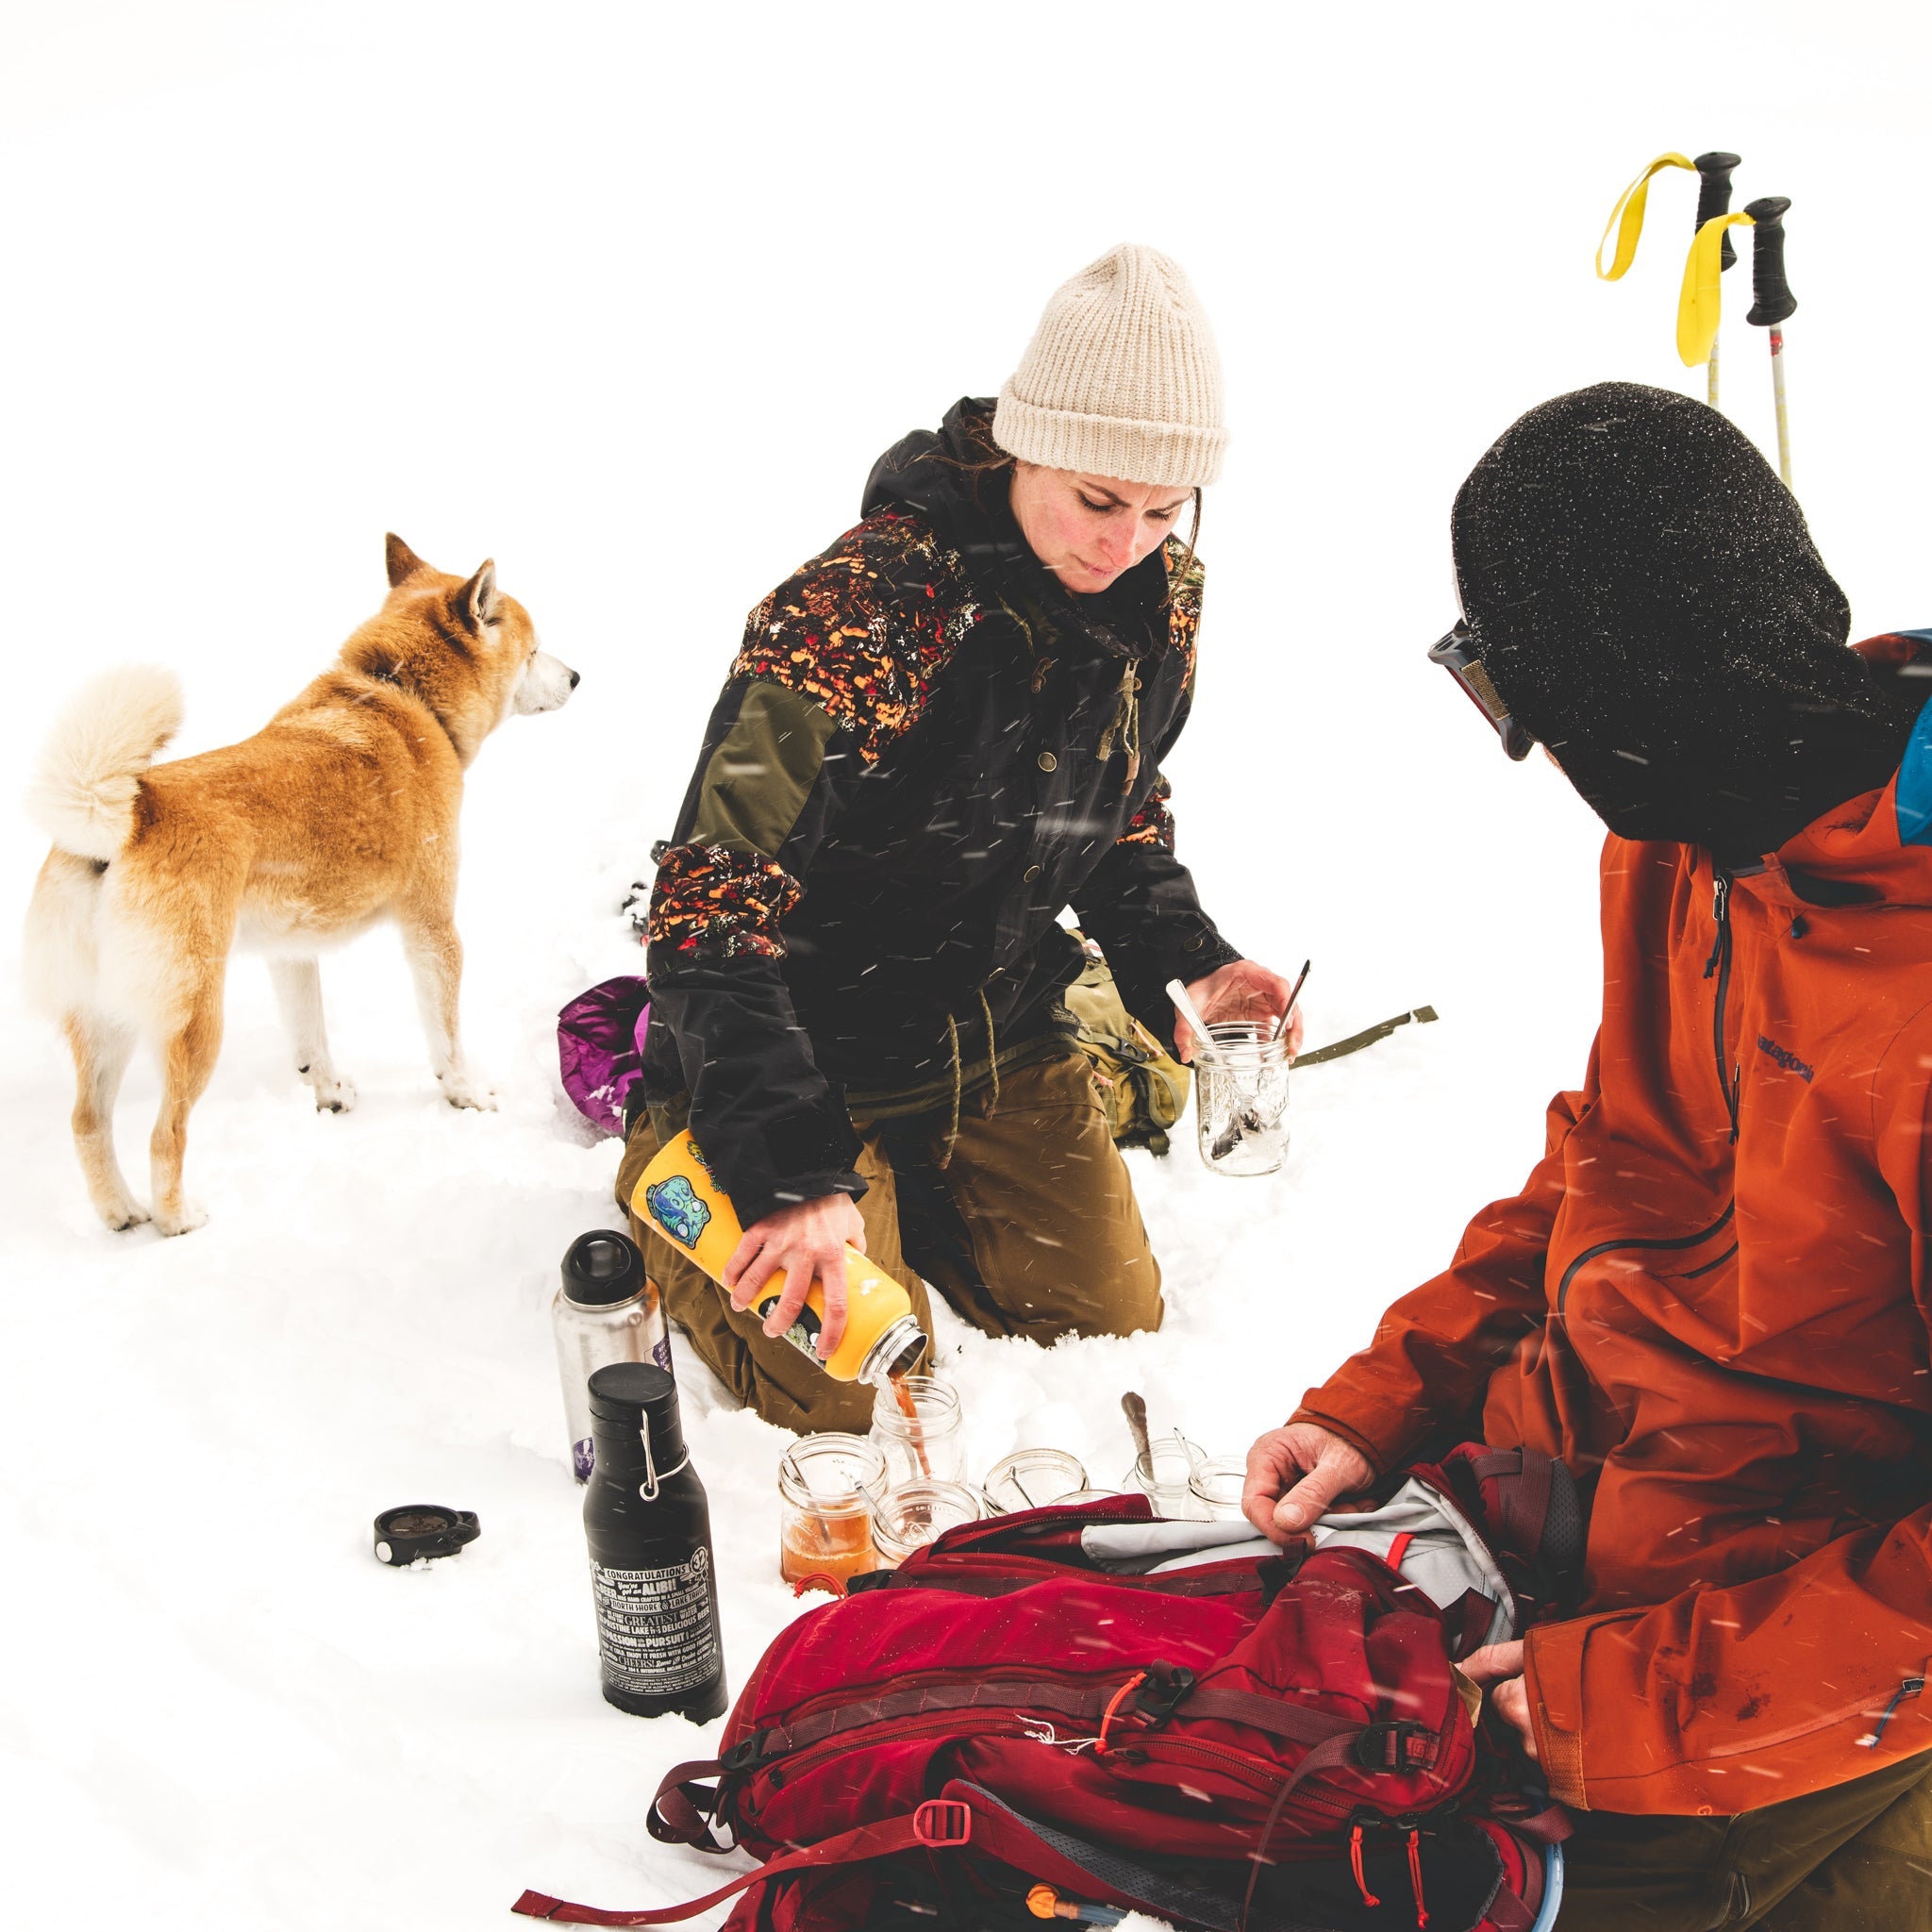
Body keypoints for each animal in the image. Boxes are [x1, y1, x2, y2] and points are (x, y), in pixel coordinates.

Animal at [21, 537, 572, 1228]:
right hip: (195, 1022)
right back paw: (178, 1218)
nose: (578, 677)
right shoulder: (432, 927)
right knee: (164, 1135)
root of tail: (122, 822)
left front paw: (330, 1095)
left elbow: (312, 1040)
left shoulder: (291, 950)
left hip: (105, 1022)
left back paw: (123, 1213)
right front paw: (466, 1095)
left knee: (87, 1123)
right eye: (535, 650)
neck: (402, 694)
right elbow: (445, 1039)